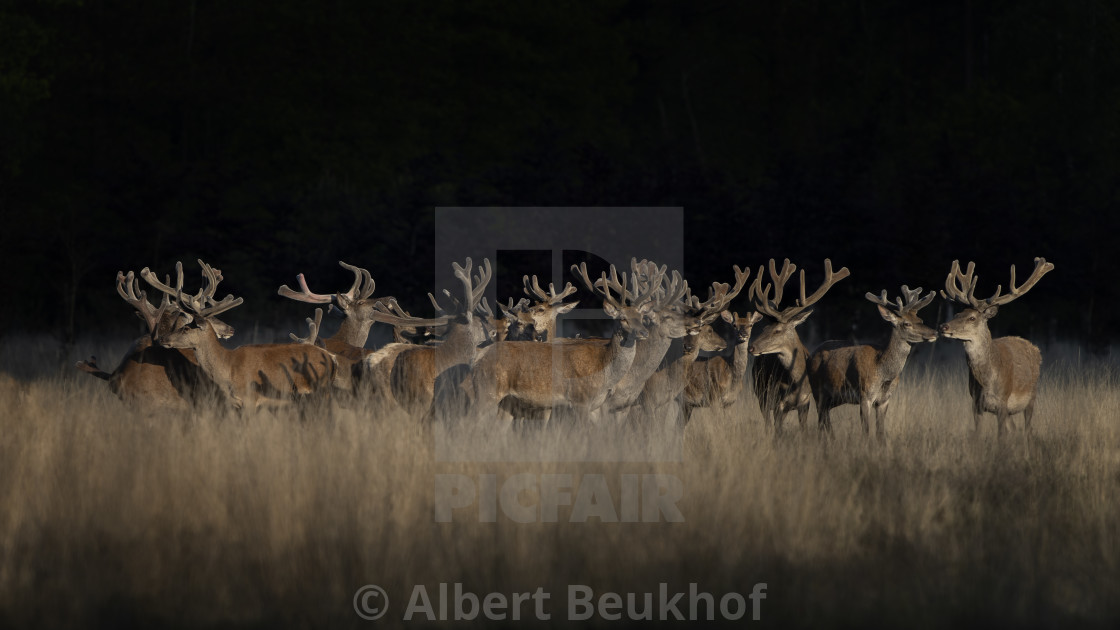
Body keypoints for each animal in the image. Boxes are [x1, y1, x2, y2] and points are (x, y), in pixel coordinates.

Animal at [151, 257, 340, 410]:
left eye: (186, 328)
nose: (163, 338)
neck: (227, 367)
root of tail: (332, 358)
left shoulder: (251, 399)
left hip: (320, 390)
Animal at [748, 257, 851, 428]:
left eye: (777, 330)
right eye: (764, 328)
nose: (751, 347)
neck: (796, 383)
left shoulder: (805, 402)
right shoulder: (778, 403)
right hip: (761, 395)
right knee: (767, 424)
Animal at [810, 285, 940, 437]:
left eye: (920, 319)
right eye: (906, 323)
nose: (935, 333)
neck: (884, 372)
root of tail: (811, 354)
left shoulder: (884, 400)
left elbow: (880, 432)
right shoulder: (864, 395)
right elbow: (866, 432)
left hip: (833, 399)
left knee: (825, 421)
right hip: (817, 392)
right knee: (821, 423)